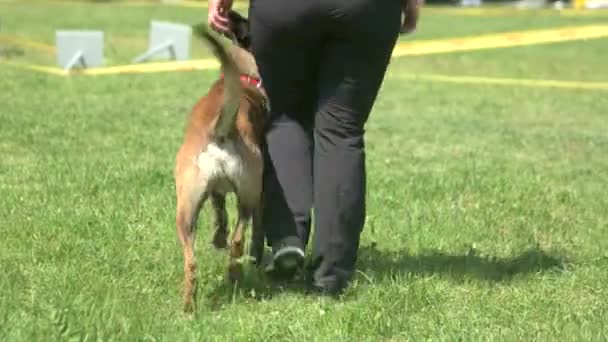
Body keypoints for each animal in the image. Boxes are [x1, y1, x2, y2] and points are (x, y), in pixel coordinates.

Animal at [171, 12, 266, 312]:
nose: (230, 14)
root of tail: (220, 131)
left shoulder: (214, 191)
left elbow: (219, 211)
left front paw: (217, 238)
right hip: (249, 196)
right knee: (239, 238)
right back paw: (235, 277)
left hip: (186, 210)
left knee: (192, 263)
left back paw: (189, 308)